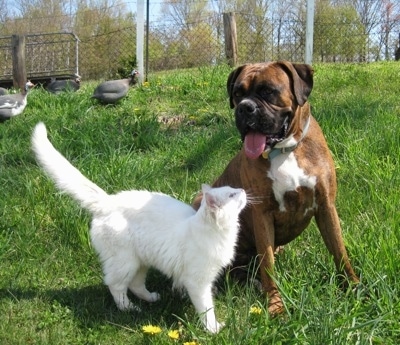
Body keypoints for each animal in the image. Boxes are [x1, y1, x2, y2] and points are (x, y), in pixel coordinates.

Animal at [31, 122, 245, 332]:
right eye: (231, 195)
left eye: (233, 189)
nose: (242, 190)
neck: (219, 233)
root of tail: (108, 201)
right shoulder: (198, 281)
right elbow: (206, 308)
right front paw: (213, 329)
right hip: (125, 262)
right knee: (115, 285)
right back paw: (129, 308)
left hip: (141, 261)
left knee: (135, 285)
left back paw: (151, 298)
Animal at [193, 60, 360, 314]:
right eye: (237, 93)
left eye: (268, 91)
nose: (245, 108)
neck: (285, 150)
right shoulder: (262, 214)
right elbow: (268, 265)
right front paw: (275, 306)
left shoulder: (326, 206)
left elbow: (339, 250)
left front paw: (354, 286)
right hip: (198, 200)